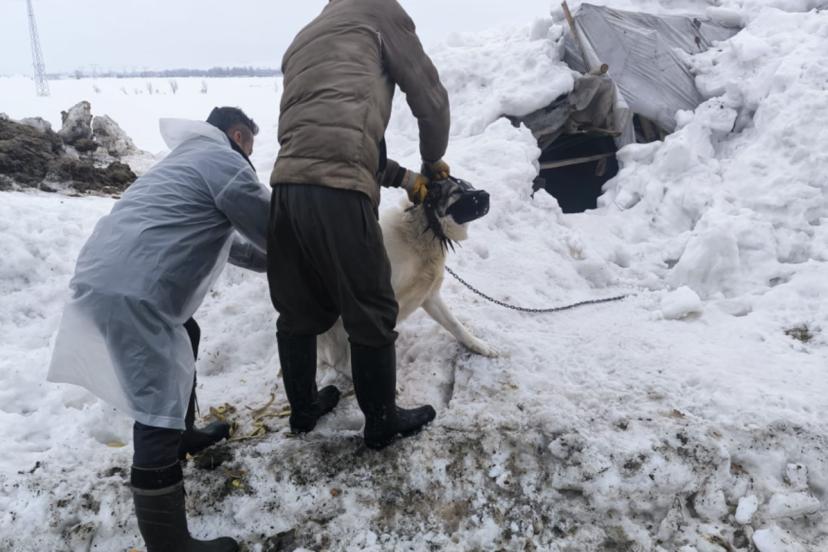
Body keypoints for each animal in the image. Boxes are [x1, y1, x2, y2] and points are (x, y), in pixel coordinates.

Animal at [318, 176, 498, 380]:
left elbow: (455, 325)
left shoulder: (430, 296)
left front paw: (479, 345)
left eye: (470, 186)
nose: (487, 194)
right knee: (340, 361)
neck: (422, 233)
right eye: (456, 192)